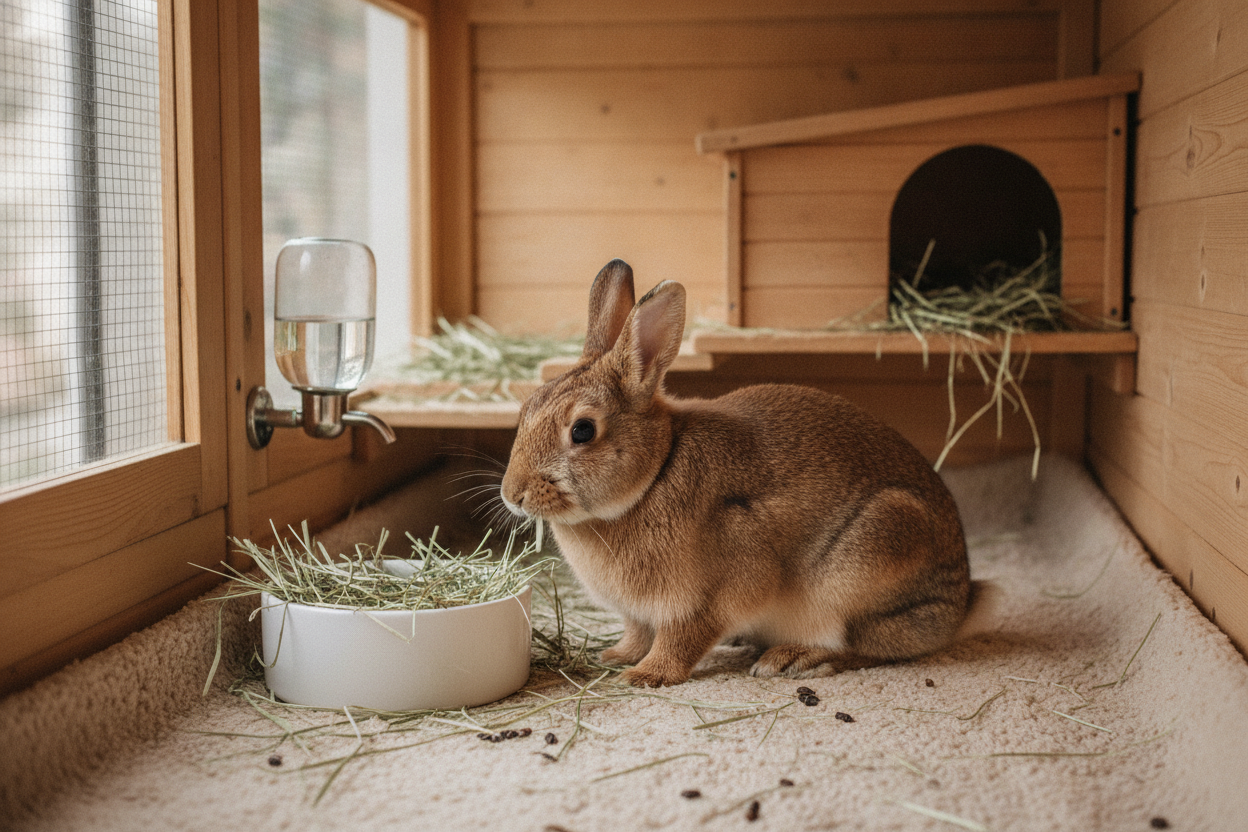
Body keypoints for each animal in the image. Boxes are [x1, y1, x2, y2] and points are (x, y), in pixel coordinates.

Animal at [500, 259, 976, 688]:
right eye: (527, 409)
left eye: (583, 430)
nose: (512, 494)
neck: (655, 473)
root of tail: (960, 604)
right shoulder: (638, 613)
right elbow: (638, 632)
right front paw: (618, 656)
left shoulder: (712, 594)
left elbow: (682, 637)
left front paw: (645, 675)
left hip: (874, 554)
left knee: (870, 644)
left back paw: (793, 659)